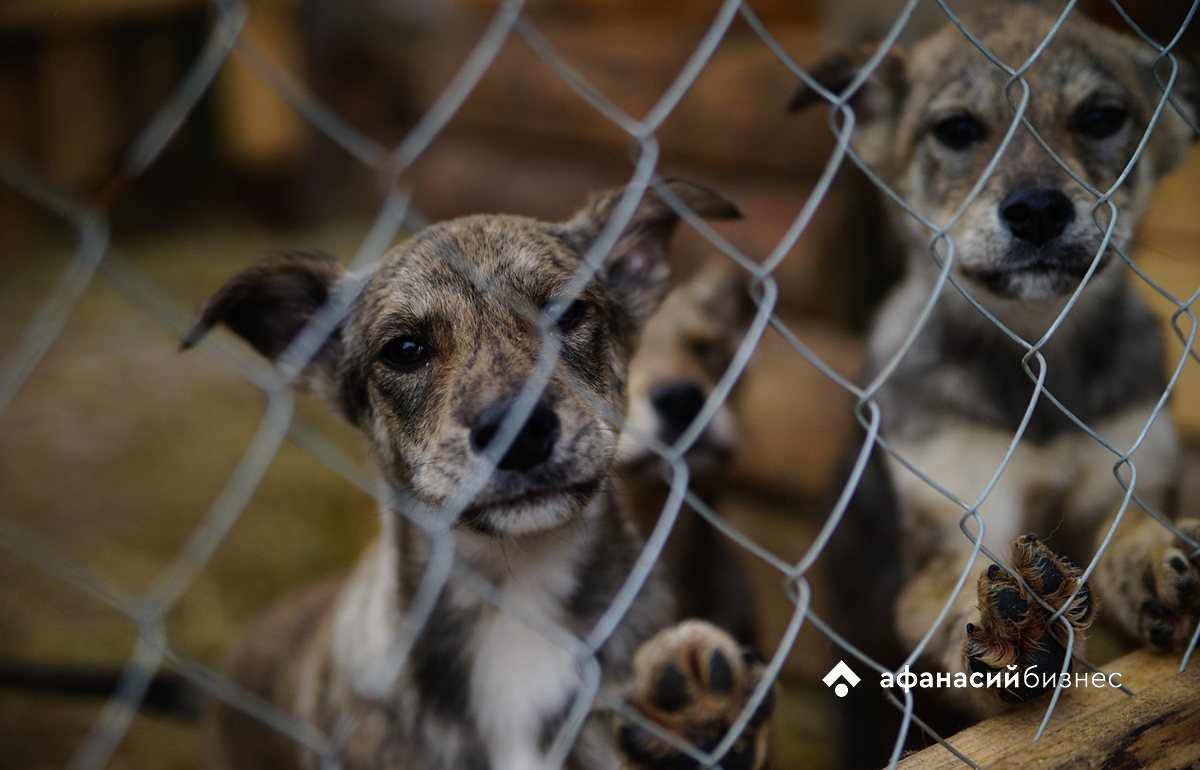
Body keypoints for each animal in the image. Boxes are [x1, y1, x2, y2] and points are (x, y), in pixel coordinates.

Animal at [796, 1, 1200, 719]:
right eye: (958, 130)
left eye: (1101, 117)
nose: (1037, 210)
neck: (1035, 358)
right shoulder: (954, 516)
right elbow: (949, 595)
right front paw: (1009, 633)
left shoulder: (1130, 471)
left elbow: (1126, 532)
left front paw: (1151, 563)